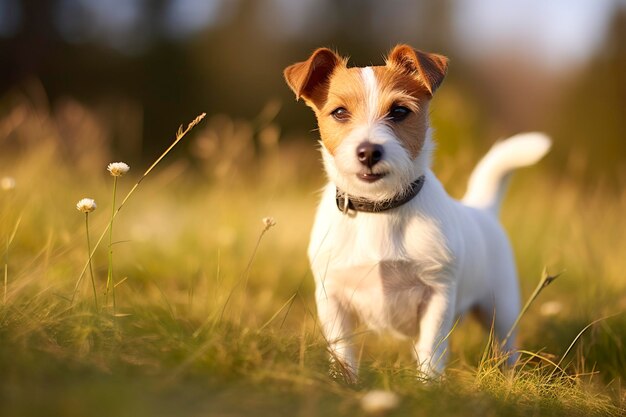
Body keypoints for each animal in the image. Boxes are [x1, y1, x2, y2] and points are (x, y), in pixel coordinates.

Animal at [280, 44, 548, 378]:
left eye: (399, 111)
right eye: (339, 112)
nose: (369, 152)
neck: (379, 209)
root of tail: (482, 208)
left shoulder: (438, 295)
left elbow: (431, 351)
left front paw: (427, 384)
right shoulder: (332, 296)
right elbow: (342, 350)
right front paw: (344, 381)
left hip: (501, 307)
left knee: (507, 344)